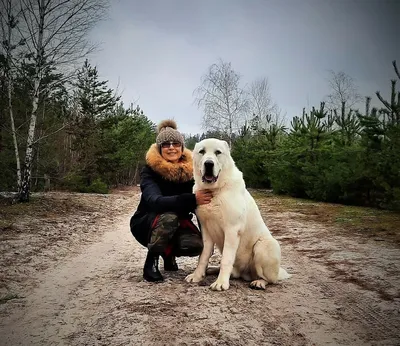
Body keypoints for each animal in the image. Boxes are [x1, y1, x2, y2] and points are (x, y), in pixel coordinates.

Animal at [186, 137, 290, 290]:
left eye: (218, 152)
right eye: (202, 152)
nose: (209, 163)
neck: (215, 191)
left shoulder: (232, 230)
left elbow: (226, 259)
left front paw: (221, 283)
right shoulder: (206, 230)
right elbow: (203, 256)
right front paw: (198, 275)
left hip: (265, 245)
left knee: (271, 279)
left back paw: (259, 282)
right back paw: (212, 269)